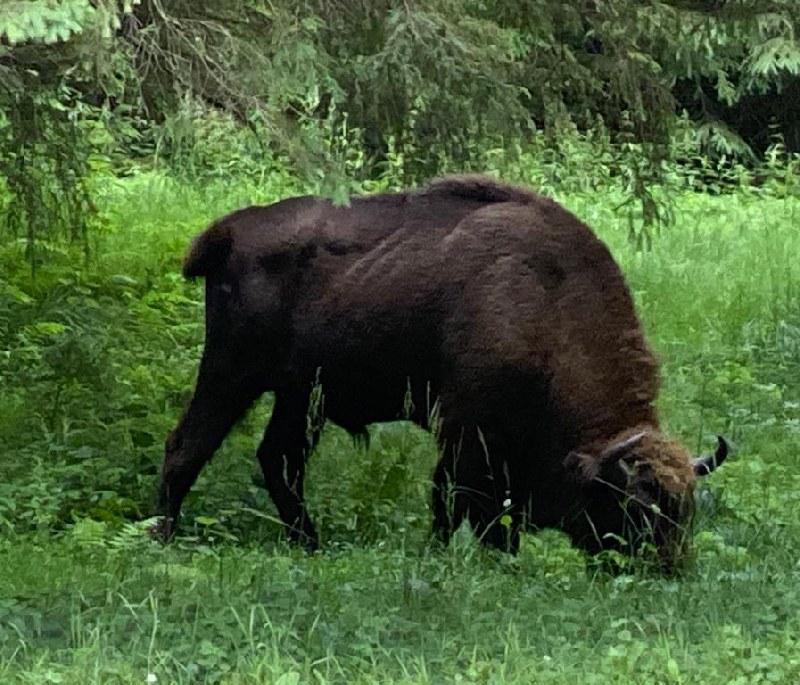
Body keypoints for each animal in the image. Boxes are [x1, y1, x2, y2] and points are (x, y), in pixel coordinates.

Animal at [153, 175, 728, 568]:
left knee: (280, 460)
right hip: (232, 373)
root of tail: (230, 230)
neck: (550, 302)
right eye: (634, 508)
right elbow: (452, 500)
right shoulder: (465, 428)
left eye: (686, 510)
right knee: (188, 446)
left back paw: (309, 544)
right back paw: (161, 537)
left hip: (300, 396)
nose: (667, 570)